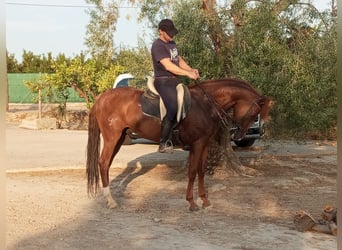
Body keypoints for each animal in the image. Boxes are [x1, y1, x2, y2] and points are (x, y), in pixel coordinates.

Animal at [86, 78, 272, 211]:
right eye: (255, 111)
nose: (239, 134)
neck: (205, 104)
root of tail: (101, 98)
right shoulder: (197, 144)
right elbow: (192, 172)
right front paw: (191, 203)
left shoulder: (204, 144)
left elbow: (201, 171)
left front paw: (204, 200)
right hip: (112, 137)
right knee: (103, 163)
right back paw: (110, 201)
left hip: (118, 138)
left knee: (106, 164)